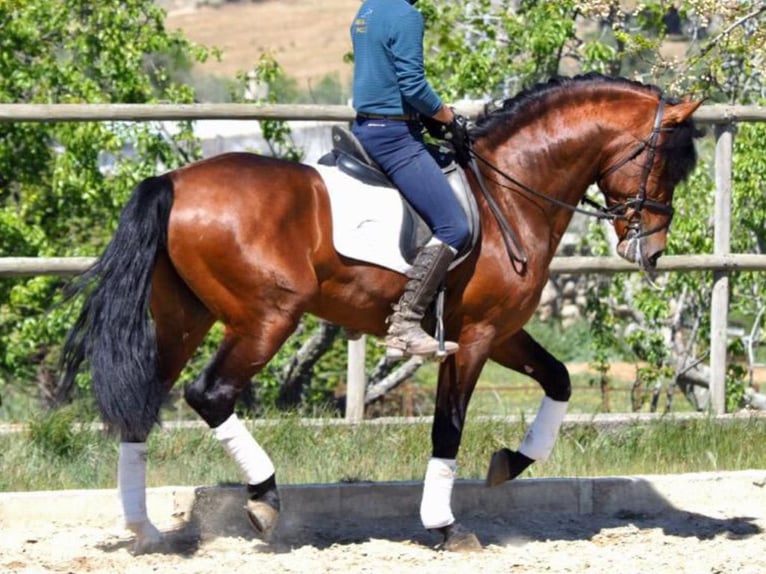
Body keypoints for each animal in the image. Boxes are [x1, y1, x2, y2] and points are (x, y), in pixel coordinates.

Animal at [60, 74, 704, 556]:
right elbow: (448, 426)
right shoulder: (474, 337)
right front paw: (445, 526)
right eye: (666, 164)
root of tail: (174, 180)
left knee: (142, 406)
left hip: (183, 319)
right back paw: (264, 501)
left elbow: (560, 379)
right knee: (209, 395)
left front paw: (511, 463)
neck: (512, 191)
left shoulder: (502, 332)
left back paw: (144, 529)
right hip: (266, 318)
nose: (650, 252)